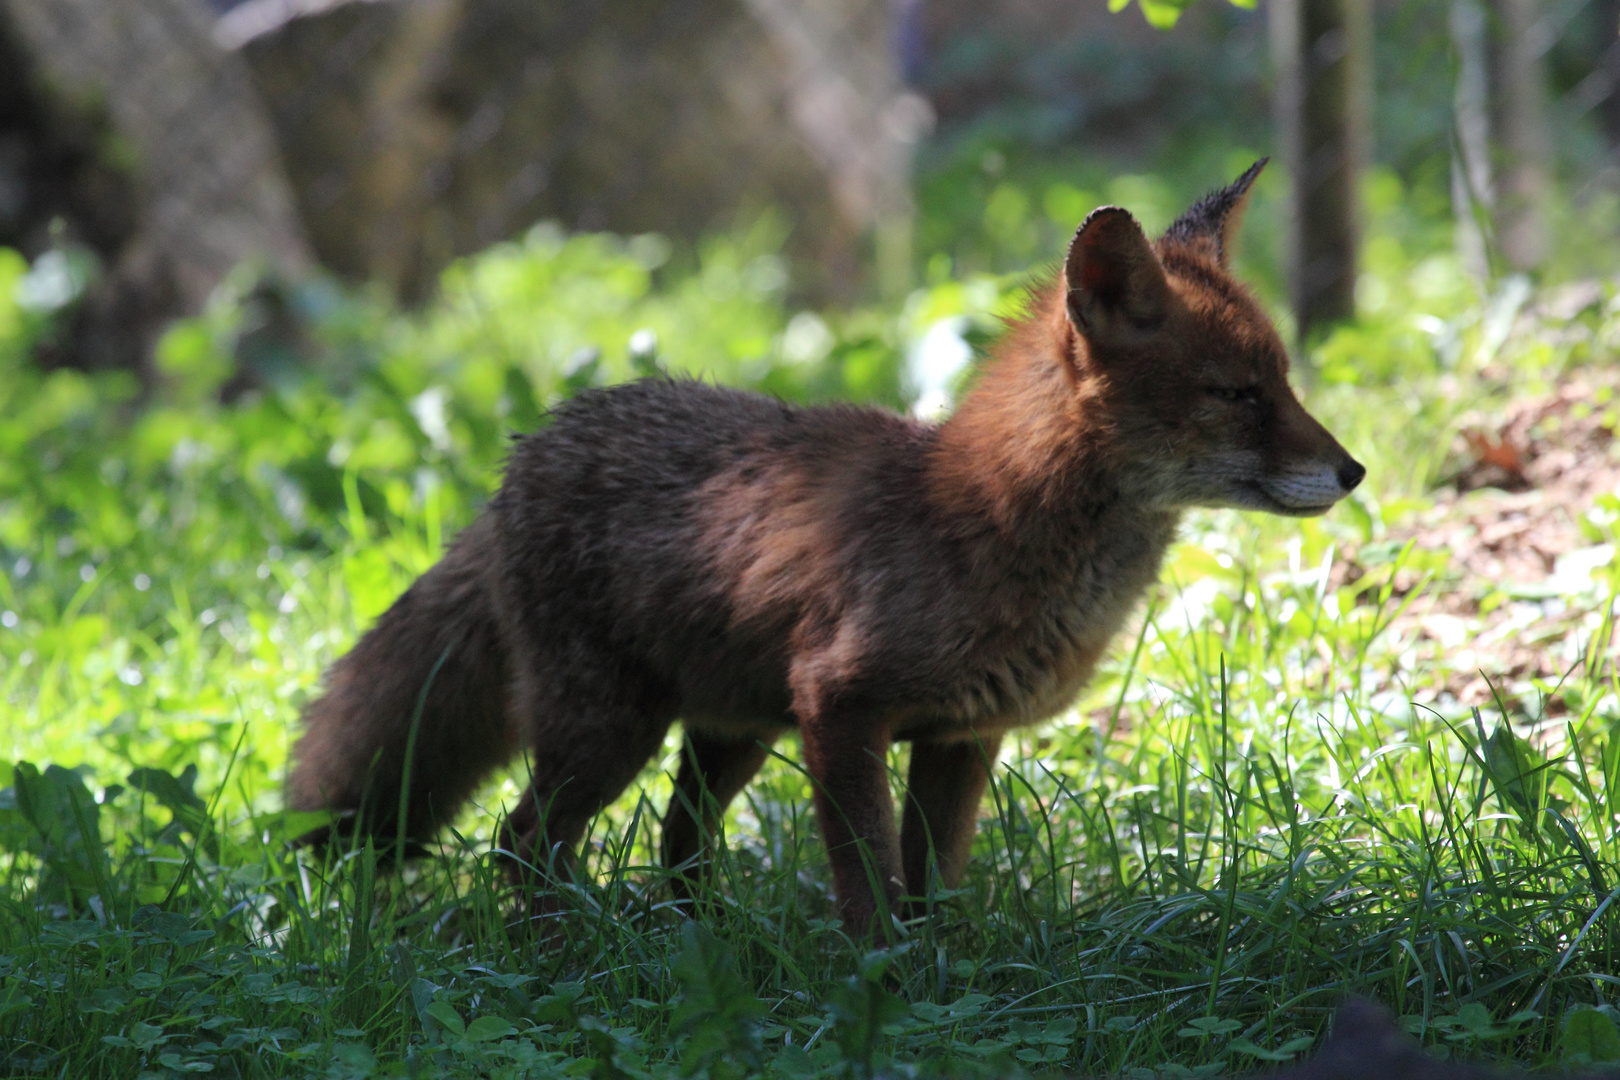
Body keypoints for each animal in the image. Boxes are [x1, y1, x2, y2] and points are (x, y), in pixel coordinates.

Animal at [285, 160, 1360, 939]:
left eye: (1286, 380)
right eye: (1238, 395)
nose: (1352, 471)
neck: (995, 522)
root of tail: (522, 453)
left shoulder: (960, 735)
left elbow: (934, 886)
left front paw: (945, 983)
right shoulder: (842, 709)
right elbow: (870, 888)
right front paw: (881, 991)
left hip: (729, 729)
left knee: (675, 843)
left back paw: (701, 943)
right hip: (614, 729)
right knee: (521, 844)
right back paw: (563, 952)